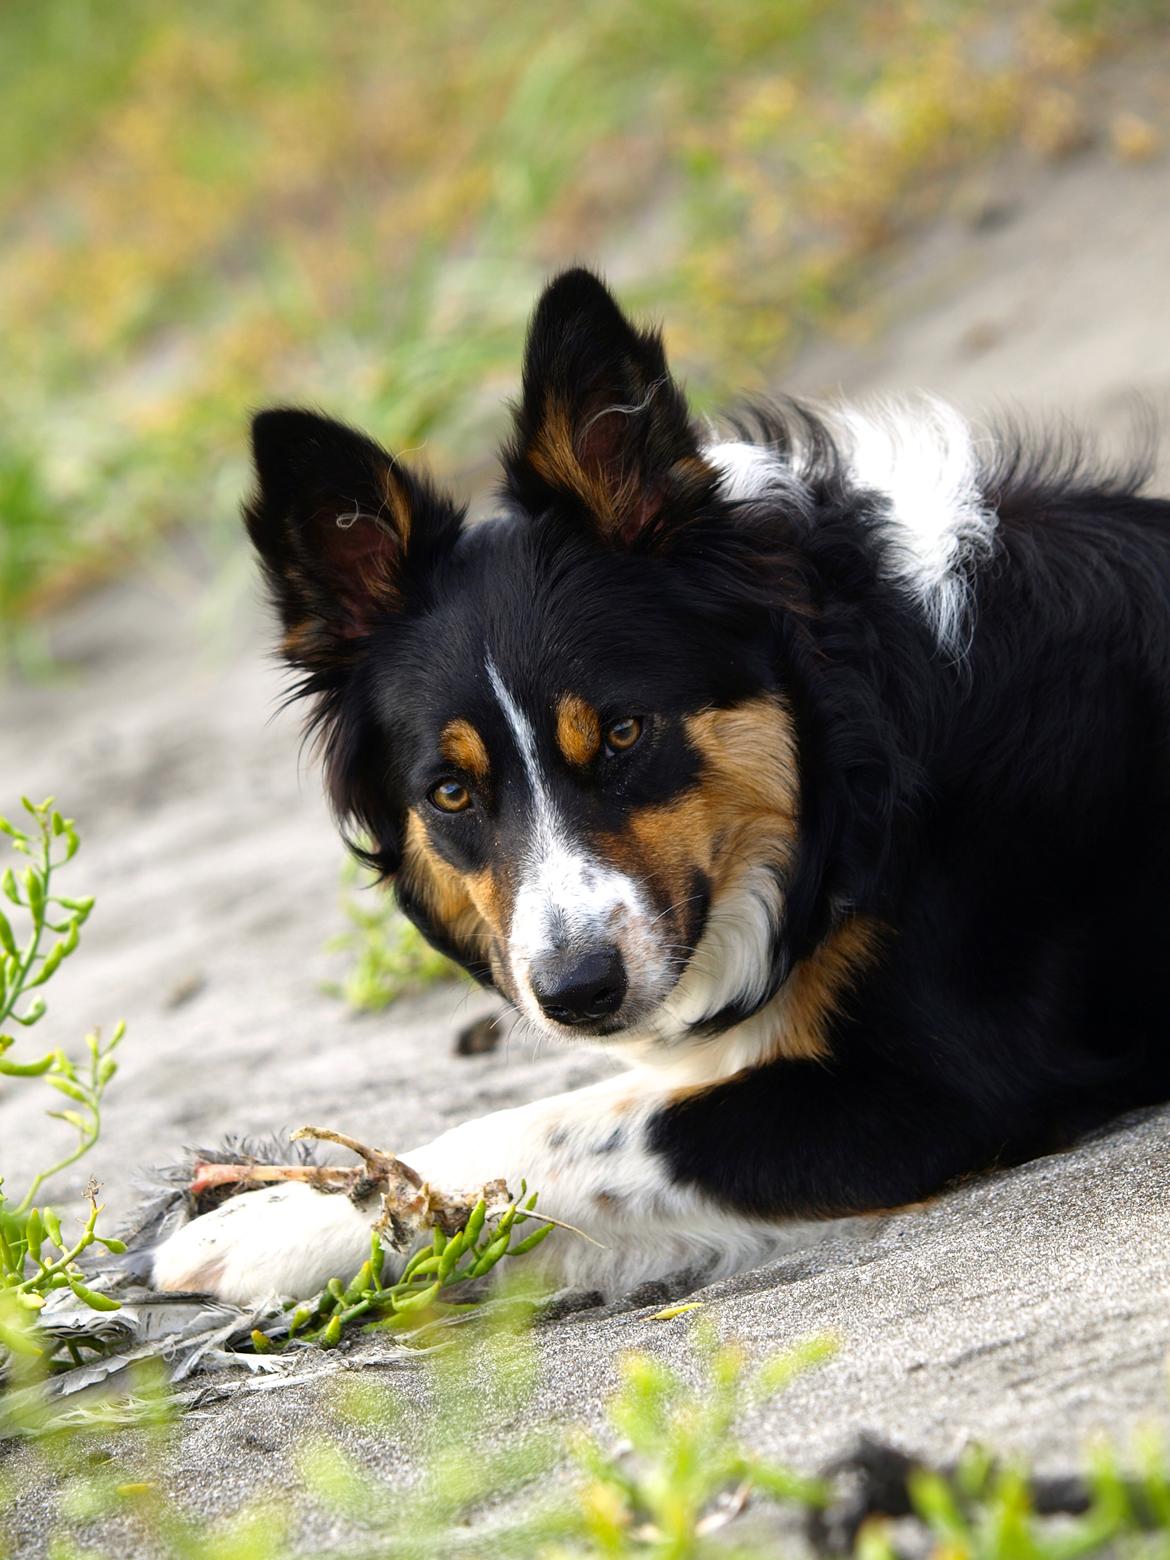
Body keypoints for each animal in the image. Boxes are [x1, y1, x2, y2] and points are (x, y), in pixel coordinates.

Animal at [151, 271, 1170, 1304]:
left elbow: (572, 1129)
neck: (873, 748)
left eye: (622, 733)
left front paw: (277, 1222)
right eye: (450, 793)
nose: (577, 993)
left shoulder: (933, 1089)